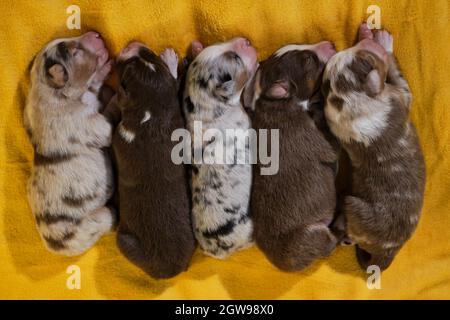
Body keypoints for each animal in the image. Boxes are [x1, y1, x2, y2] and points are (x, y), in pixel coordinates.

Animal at [24, 32, 116, 256]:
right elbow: (108, 115)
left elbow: (94, 86)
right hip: (93, 221)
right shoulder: (94, 124)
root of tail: (54, 247)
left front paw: (105, 70)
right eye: (76, 52)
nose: (96, 33)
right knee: (107, 218)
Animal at [111, 42, 195, 278]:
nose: (133, 44)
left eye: (125, 69)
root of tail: (171, 269)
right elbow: (174, 85)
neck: (150, 115)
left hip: (124, 240)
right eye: (150, 55)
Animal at [244, 40, 340, 270]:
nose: (331, 43)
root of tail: (280, 262)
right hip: (311, 233)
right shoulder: (318, 142)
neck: (274, 101)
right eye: (308, 60)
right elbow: (331, 147)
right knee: (326, 244)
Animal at [324, 23, 426, 272]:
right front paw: (382, 41)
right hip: (355, 205)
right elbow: (398, 77)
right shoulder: (401, 96)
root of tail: (389, 251)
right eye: (365, 57)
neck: (353, 102)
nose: (365, 42)